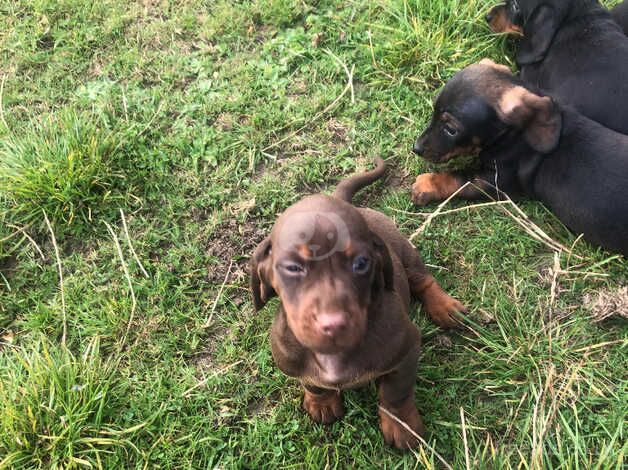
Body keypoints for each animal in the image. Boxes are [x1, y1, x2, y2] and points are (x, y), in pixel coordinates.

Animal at [250, 158, 466, 448]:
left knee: (423, 280)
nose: (333, 324)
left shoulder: (406, 351)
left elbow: (396, 393)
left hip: (405, 251)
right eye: (293, 267)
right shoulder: (291, 362)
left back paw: (445, 307)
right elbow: (311, 383)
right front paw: (321, 402)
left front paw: (402, 424)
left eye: (361, 263)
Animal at [412, 59, 628, 258]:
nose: (416, 148)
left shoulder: (497, 180)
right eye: (434, 111)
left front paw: (427, 184)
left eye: (451, 129)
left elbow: (460, 179)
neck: (514, 134)